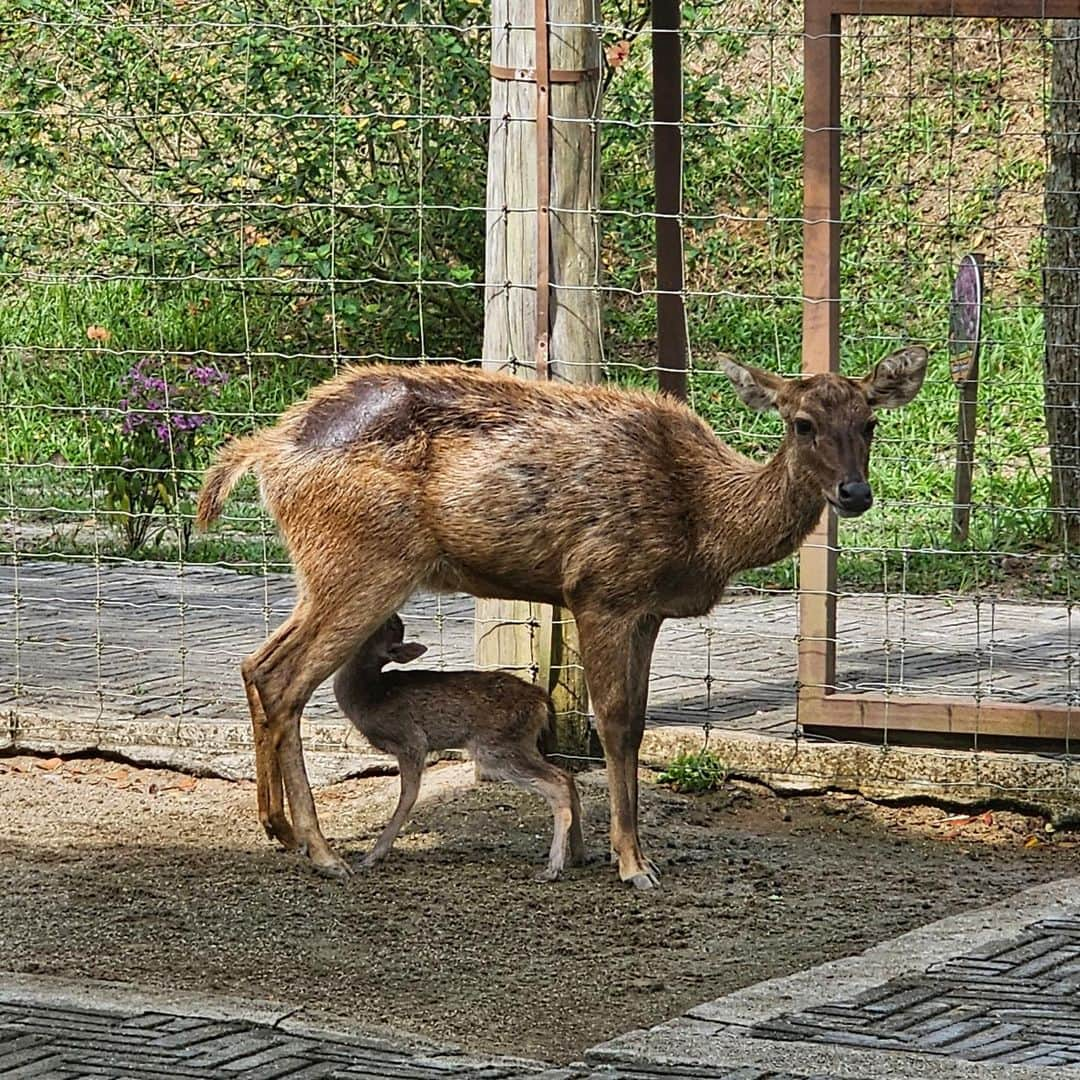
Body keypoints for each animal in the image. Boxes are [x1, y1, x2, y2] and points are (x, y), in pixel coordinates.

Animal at [334, 613, 583, 881]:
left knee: (558, 783)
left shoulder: (410, 740)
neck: (368, 698)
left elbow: (408, 795)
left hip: (497, 747)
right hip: (521, 743)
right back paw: (580, 854)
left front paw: (373, 855)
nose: (395, 615)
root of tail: (542, 702)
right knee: (566, 775)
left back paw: (553, 867)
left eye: (386, 625)